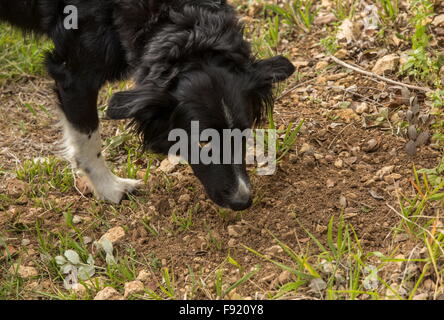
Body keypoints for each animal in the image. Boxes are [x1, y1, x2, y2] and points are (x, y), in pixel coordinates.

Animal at [0, 0, 294, 212]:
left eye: (243, 134)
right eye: (202, 142)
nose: (242, 201)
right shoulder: (73, 74)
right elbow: (88, 140)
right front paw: (110, 189)